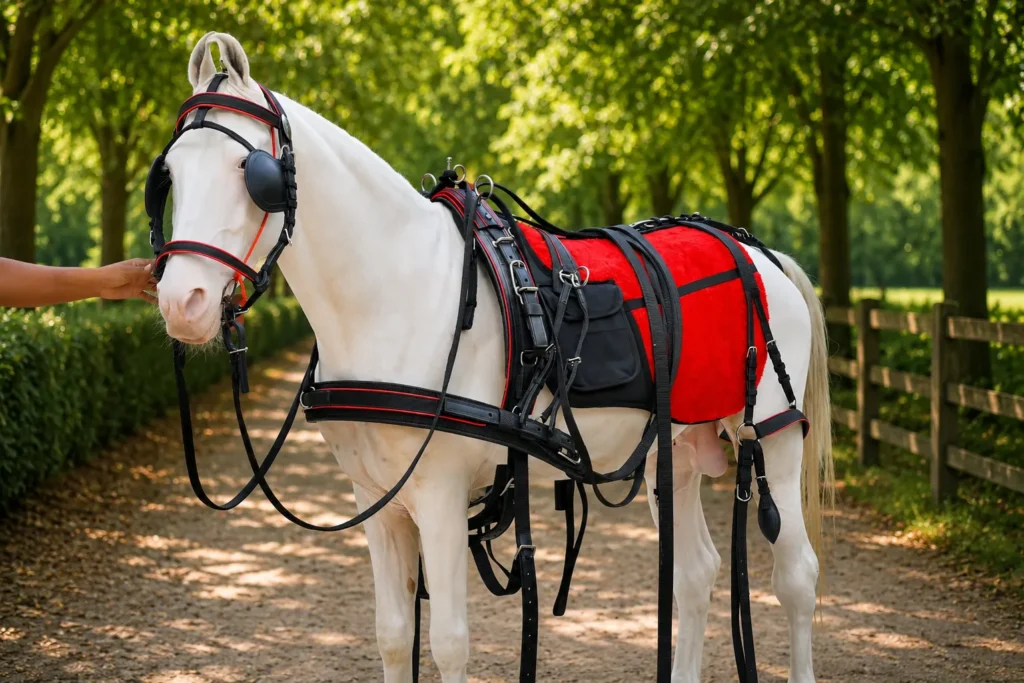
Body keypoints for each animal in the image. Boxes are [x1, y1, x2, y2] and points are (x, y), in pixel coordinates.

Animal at [154, 31, 832, 683]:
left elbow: (449, 645)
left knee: (796, 575)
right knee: (694, 572)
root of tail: (758, 253)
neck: (401, 287)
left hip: (772, 435)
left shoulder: (440, 496)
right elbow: (394, 636)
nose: (181, 302)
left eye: (251, 172)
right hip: (681, 448)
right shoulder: (375, 498)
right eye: (172, 175)